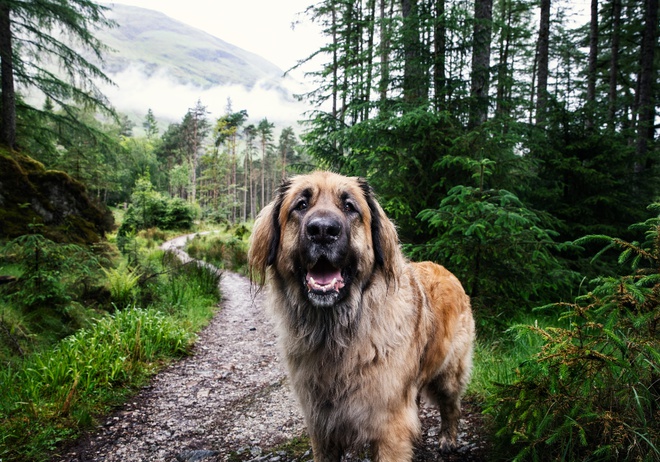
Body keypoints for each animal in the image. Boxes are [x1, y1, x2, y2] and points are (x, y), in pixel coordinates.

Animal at [249, 171, 474, 460]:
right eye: (301, 205)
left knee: (451, 407)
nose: (323, 231)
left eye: (349, 207)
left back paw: (448, 439)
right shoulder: (321, 426)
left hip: (448, 374)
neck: (336, 332)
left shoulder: (389, 427)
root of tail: (446, 270)